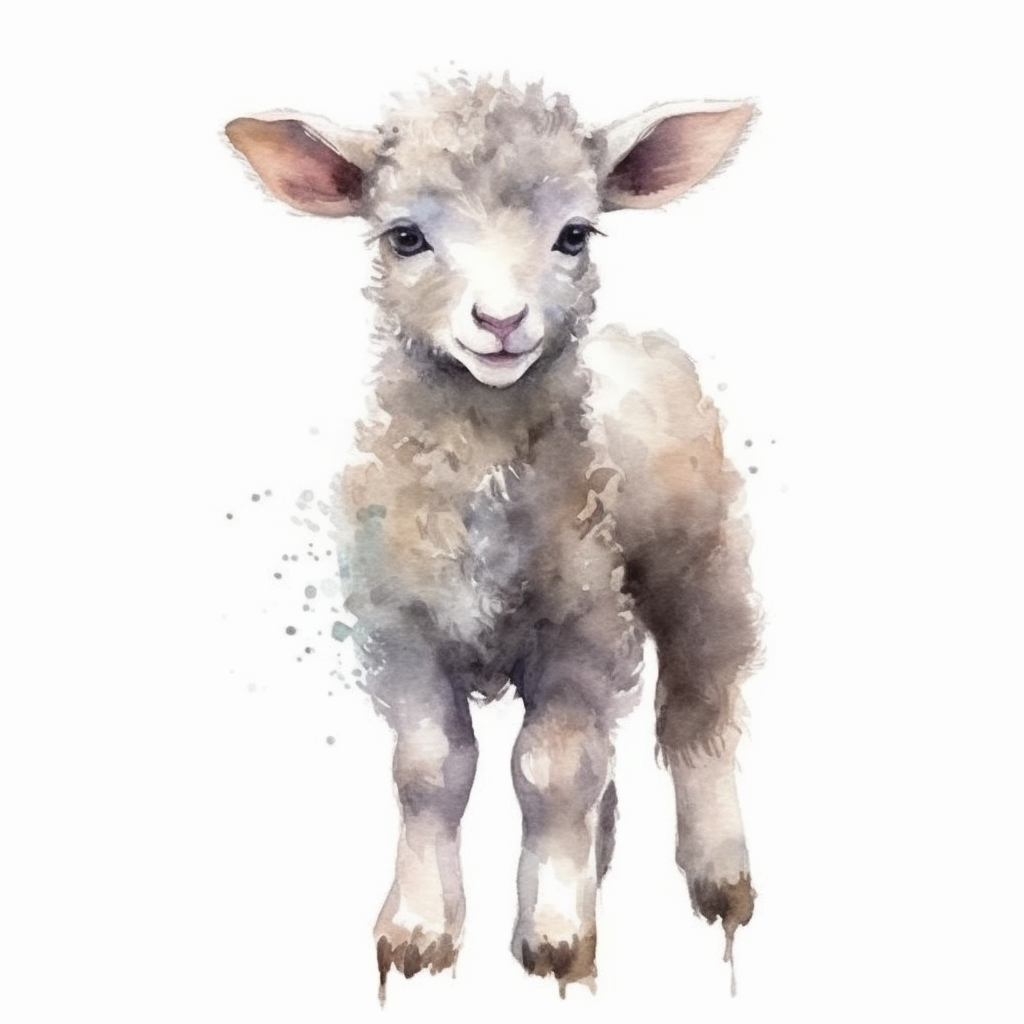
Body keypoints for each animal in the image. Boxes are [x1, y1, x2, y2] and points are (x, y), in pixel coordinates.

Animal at [225, 76, 760, 997]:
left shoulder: (584, 625)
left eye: (574, 234)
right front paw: (419, 929)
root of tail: (639, 341)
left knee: (698, 715)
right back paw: (602, 863)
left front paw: (554, 935)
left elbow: (552, 771)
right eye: (405, 237)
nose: (501, 322)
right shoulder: (402, 631)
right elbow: (431, 771)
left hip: (700, 568)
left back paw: (718, 876)